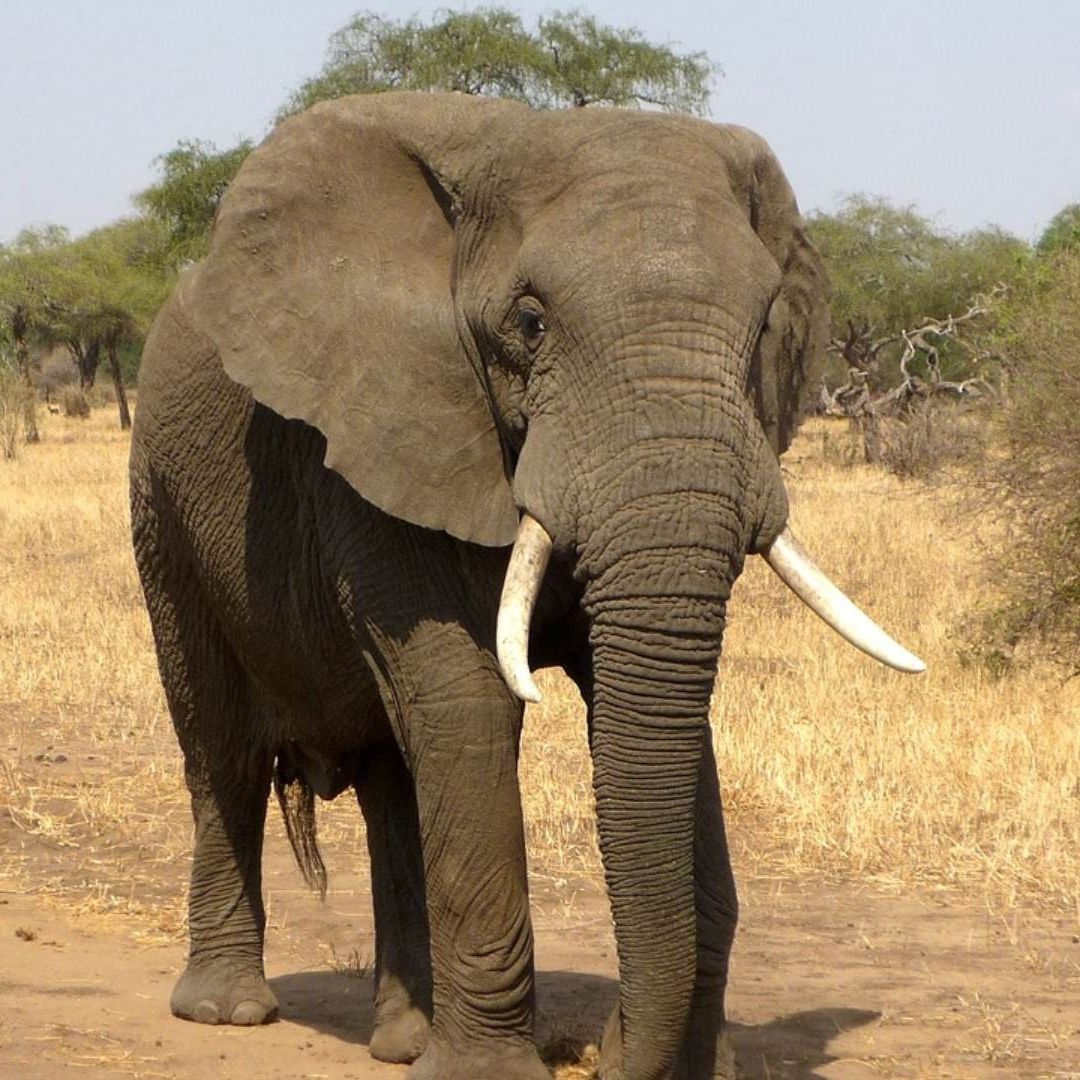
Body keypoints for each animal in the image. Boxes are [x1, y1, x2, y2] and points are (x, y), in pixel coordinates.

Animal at [129, 91, 923, 1080]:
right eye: (531, 323)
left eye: (764, 329)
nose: (606, 1056)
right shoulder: (385, 429)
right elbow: (470, 699)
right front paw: (488, 1074)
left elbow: (646, 707)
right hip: (162, 506)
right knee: (224, 752)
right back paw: (229, 1011)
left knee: (392, 776)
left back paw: (404, 1040)